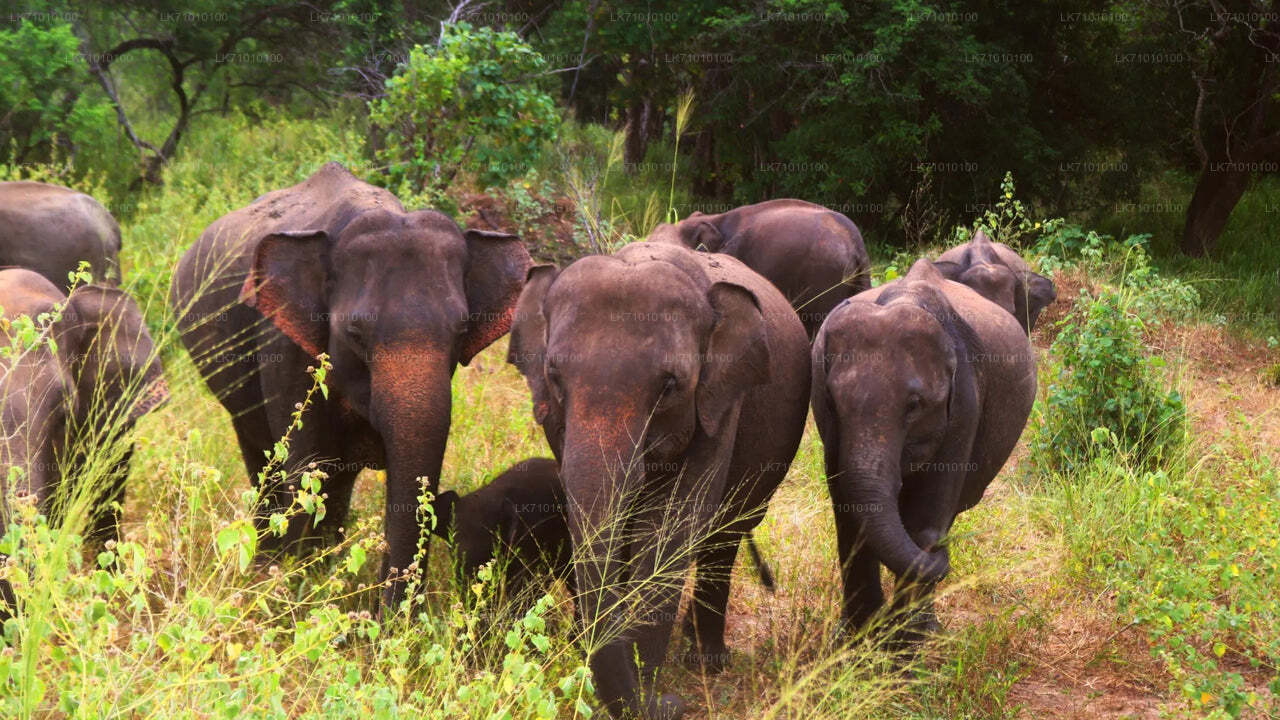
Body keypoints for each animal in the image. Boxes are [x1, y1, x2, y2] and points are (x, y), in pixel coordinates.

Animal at [170, 159, 529, 607]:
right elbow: (307, 466)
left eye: (461, 331)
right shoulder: (285, 347)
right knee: (260, 449)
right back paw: (266, 559)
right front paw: (292, 589)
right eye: (356, 333)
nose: (387, 615)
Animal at [504, 240, 803, 717]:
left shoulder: (720, 405)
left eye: (670, 385)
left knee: (724, 538)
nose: (671, 702)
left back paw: (707, 661)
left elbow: (669, 530)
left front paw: (644, 683)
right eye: (553, 376)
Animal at [814, 257, 1034, 638]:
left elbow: (926, 516)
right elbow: (847, 512)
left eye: (914, 405)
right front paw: (858, 637)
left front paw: (906, 643)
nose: (942, 554)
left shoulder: (965, 402)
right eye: (830, 399)